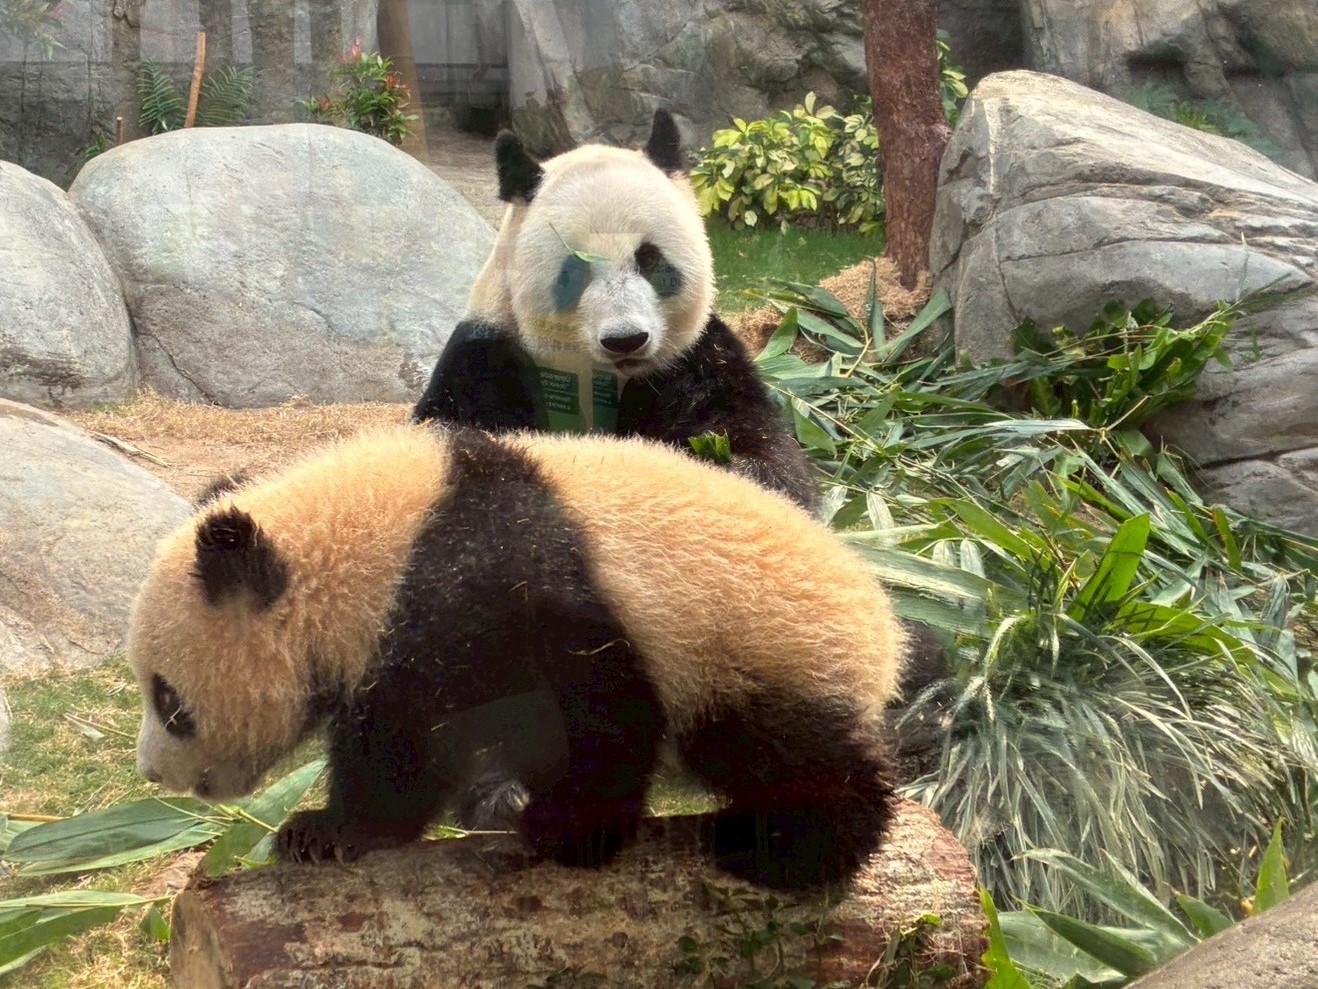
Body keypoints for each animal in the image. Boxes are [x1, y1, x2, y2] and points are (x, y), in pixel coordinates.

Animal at [129, 424, 903, 890]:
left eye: (169, 699)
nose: (153, 773)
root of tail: (884, 634)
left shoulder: (499, 593)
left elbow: (589, 714)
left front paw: (329, 829)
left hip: (754, 651)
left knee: (785, 751)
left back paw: (790, 845)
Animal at [412, 110, 820, 513]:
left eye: (649, 259)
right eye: (576, 268)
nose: (626, 341)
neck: (598, 380)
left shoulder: (694, 358)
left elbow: (764, 452)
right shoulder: (487, 355)